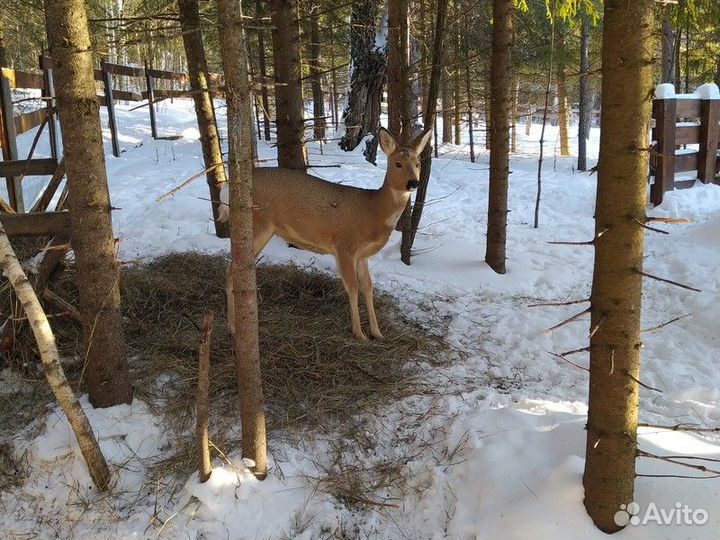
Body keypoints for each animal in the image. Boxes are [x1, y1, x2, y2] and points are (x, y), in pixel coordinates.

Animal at [222, 125, 430, 342]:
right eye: (398, 163)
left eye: (417, 164)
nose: (413, 183)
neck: (373, 212)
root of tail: (228, 188)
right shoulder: (345, 245)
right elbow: (352, 287)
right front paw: (359, 333)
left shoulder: (362, 255)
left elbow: (368, 287)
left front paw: (377, 332)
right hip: (258, 224)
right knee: (231, 269)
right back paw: (232, 328)